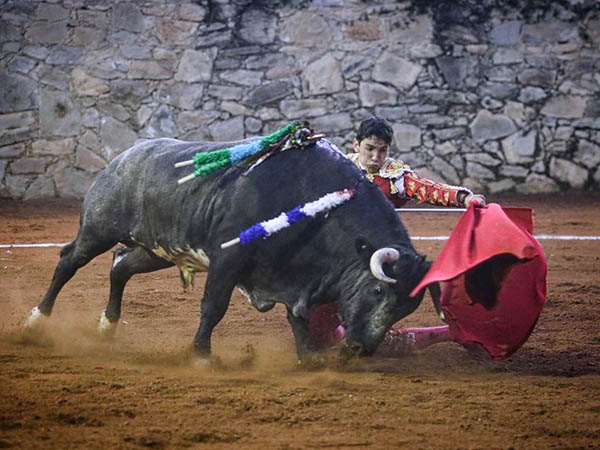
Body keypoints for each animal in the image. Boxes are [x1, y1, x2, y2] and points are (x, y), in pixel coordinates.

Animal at [24, 134, 431, 359]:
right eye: (377, 291)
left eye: (406, 309)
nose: (362, 349)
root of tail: (121, 159)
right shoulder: (228, 258)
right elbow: (214, 307)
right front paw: (201, 354)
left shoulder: (297, 277)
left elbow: (297, 318)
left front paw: (308, 359)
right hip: (98, 229)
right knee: (68, 262)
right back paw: (36, 321)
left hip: (155, 250)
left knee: (120, 267)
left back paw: (107, 327)